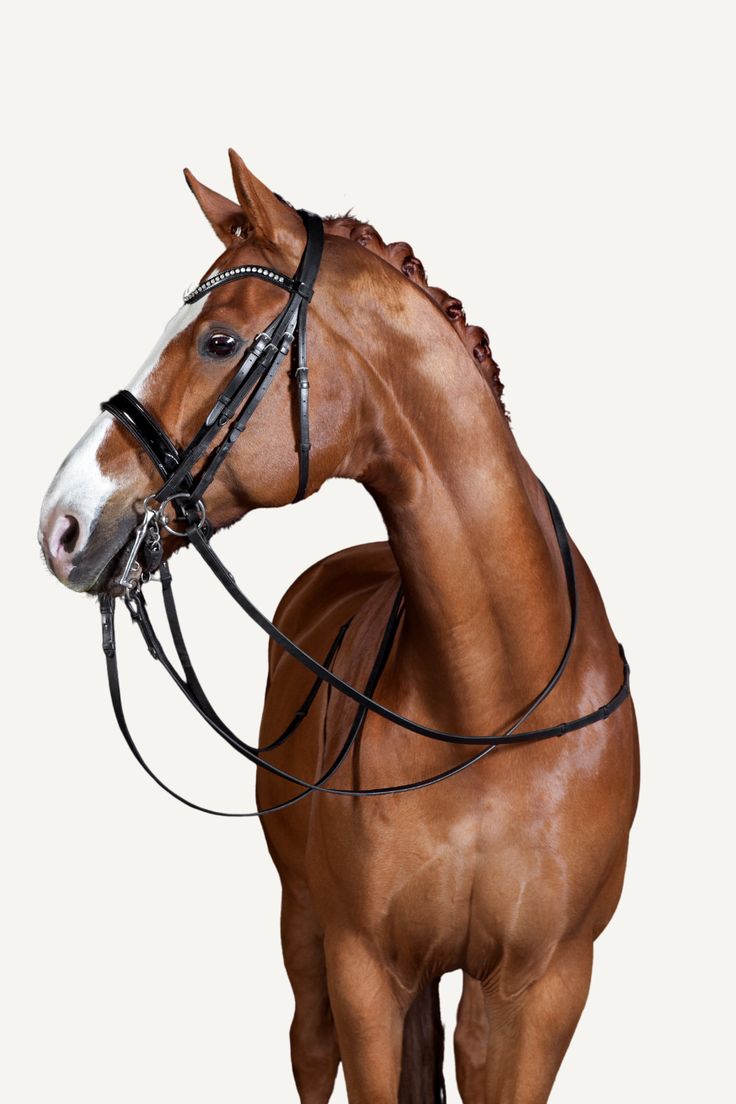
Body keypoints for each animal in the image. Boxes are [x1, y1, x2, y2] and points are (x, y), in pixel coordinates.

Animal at [38, 150, 639, 1103]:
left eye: (218, 340)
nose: (62, 524)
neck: (492, 706)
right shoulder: (366, 971)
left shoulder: (543, 989)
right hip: (305, 929)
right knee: (309, 1048)